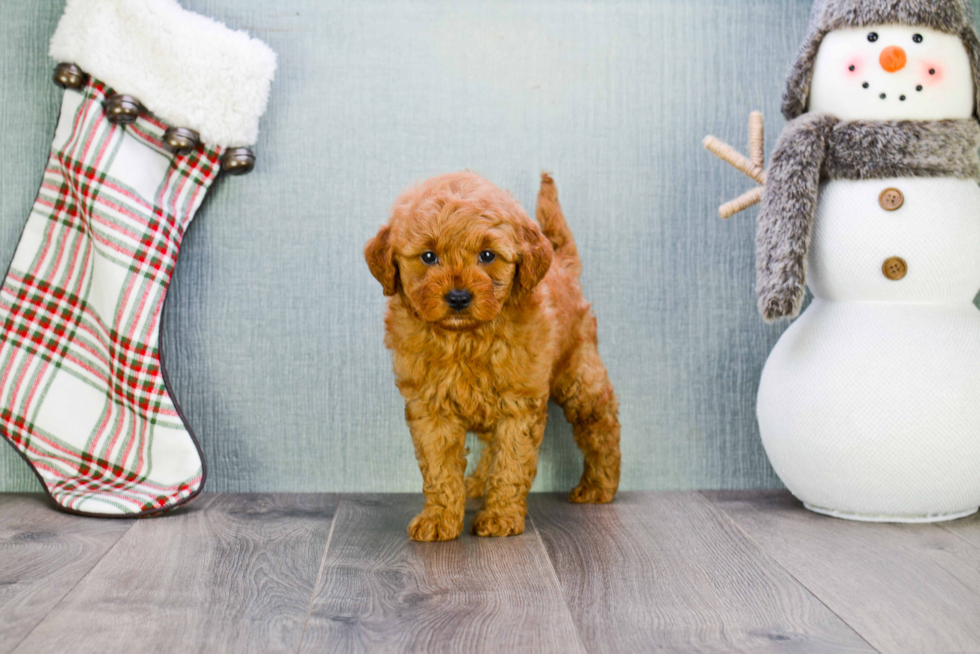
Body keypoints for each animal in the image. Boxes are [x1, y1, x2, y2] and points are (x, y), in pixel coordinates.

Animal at [368, 170, 620, 544]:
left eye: (487, 255)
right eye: (428, 257)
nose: (458, 297)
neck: (465, 338)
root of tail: (562, 265)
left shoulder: (520, 405)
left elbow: (511, 461)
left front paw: (500, 516)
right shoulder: (430, 407)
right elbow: (439, 467)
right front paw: (439, 518)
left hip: (580, 376)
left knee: (601, 424)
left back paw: (598, 485)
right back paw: (476, 483)